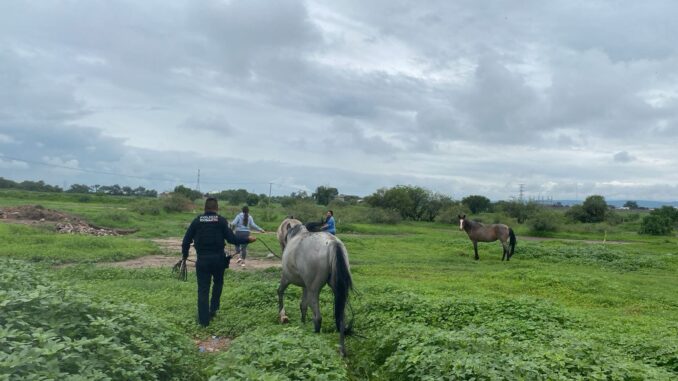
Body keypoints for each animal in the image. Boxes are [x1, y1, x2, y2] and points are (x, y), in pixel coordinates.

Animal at [278, 223, 356, 354]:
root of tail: (332, 243)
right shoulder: (305, 286)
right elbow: (303, 305)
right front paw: (302, 323)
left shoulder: (286, 278)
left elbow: (280, 291)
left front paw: (281, 314)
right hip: (334, 289)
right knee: (340, 320)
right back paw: (342, 351)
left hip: (313, 290)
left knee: (318, 318)